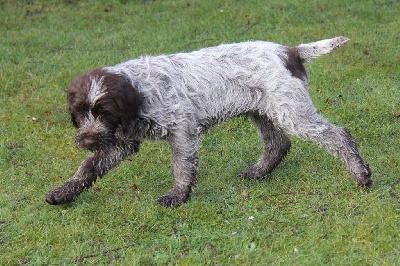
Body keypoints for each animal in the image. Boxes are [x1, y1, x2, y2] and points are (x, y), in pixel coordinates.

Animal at [46, 36, 372, 207]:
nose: (88, 140)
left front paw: (178, 196)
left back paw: (360, 174)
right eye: (80, 113)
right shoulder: (120, 142)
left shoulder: (182, 130)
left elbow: (181, 167)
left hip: (290, 112)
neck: (139, 91)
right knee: (278, 143)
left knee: (338, 135)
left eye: (104, 112)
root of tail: (288, 51)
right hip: (264, 111)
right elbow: (88, 168)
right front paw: (63, 192)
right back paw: (258, 172)